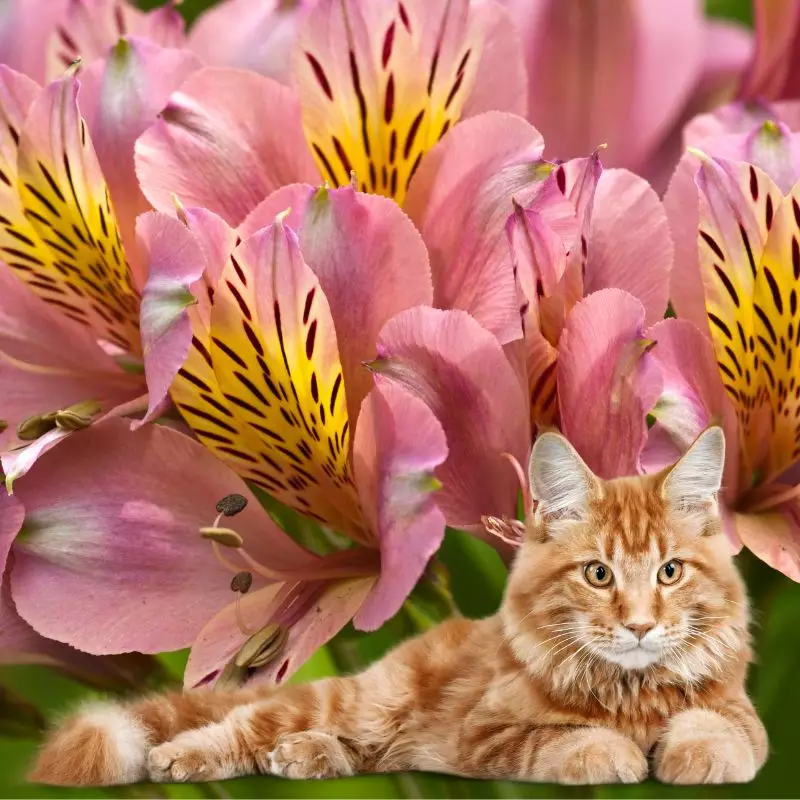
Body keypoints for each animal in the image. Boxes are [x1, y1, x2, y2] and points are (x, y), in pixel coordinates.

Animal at [31, 428, 768, 784]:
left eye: (670, 572)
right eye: (598, 573)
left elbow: (721, 729)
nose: (640, 626)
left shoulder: (742, 715)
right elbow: (554, 741)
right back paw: (181, 758)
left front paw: (696, 754)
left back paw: (306, 756)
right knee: (243, 724)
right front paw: (608, 753)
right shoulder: (485, 734)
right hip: (357, 698)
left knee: (358, 751)